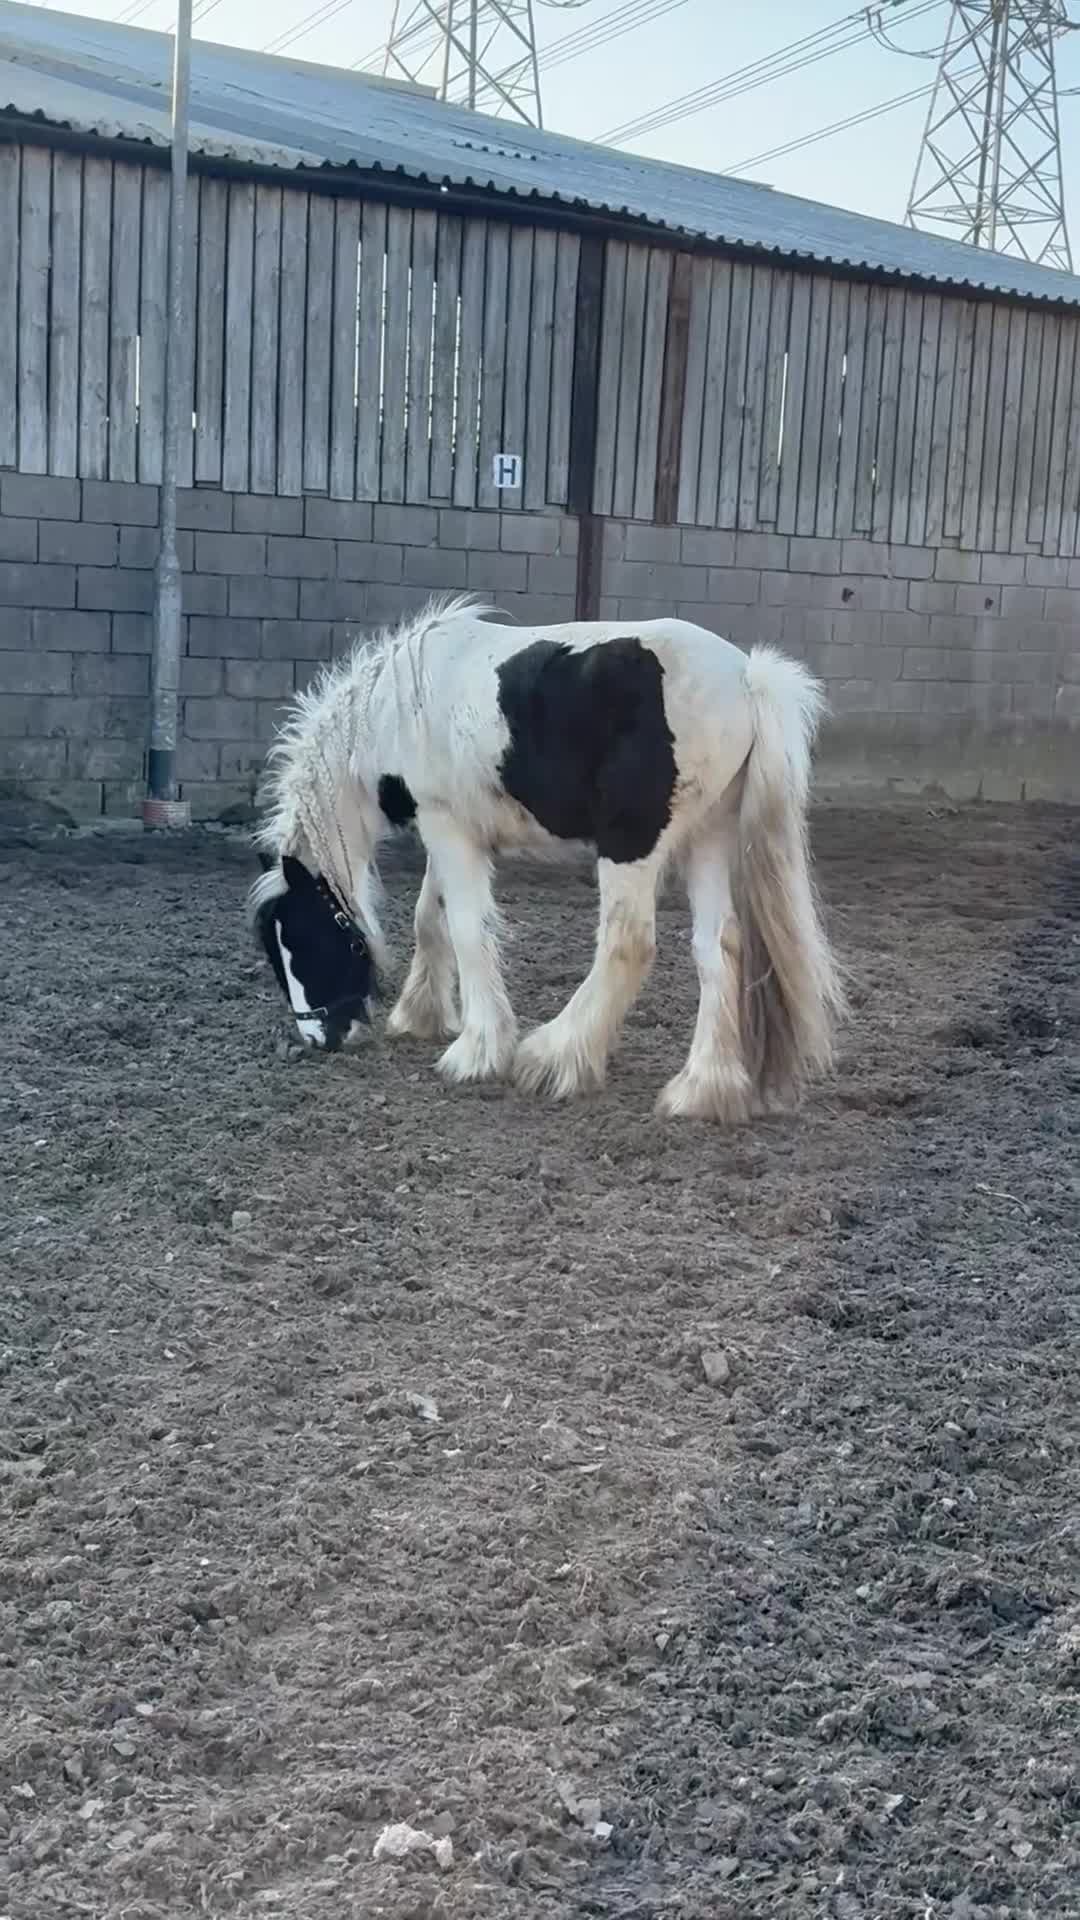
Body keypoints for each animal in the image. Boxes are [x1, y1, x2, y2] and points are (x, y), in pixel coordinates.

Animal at [248, 593, 843, 1121]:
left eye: (301, 936)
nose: (321, 1036)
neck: (397, 707)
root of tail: (748, 680)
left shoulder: (447, 827)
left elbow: (466, 929)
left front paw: (477, 1051)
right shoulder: (450, 832)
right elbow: (429, 919)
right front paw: (422, 1015)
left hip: (632, 844)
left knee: (628, 943)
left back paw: (555, 1057)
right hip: (709, 838)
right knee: (718, 946)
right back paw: (702, 1089)